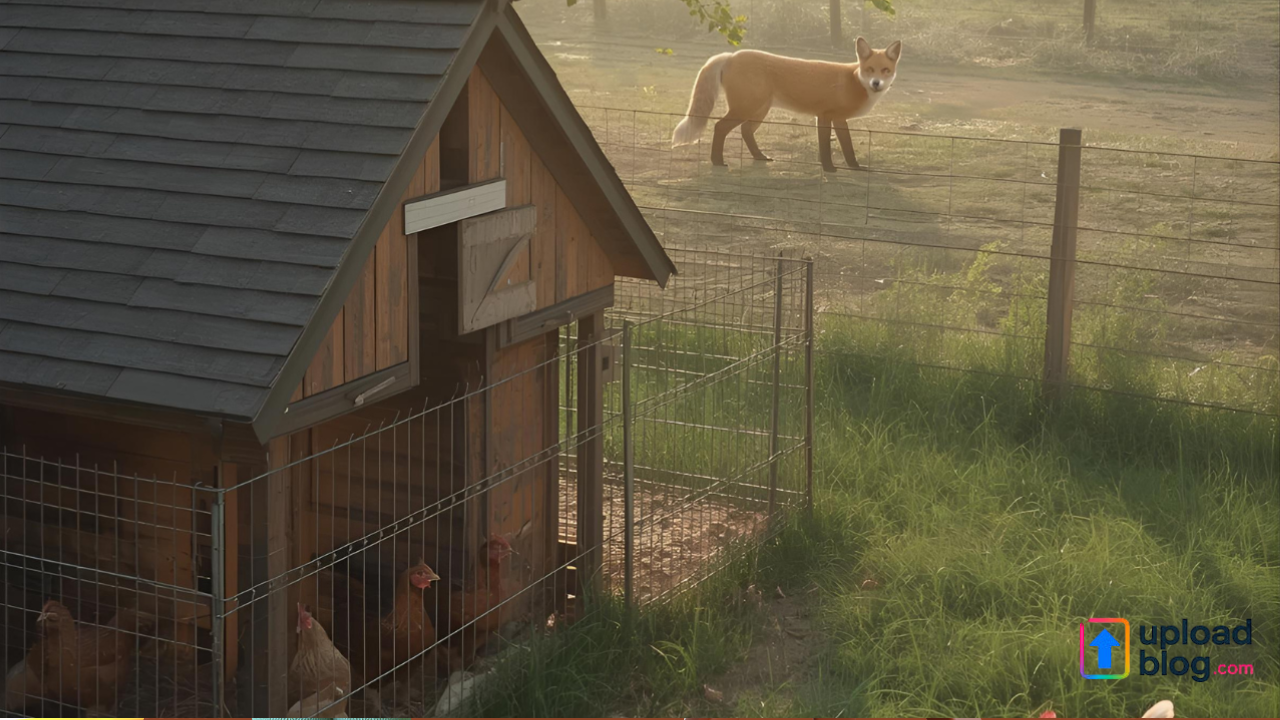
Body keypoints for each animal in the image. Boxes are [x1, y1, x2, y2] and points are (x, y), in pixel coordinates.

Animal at [671, 37, 902, 172]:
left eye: (885, 71)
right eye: (870, 69)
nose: (876, 84)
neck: (854, 80)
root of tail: (732, 55)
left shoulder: (839, 119)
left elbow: (848, 148)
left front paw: (855, 167)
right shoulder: (825, 116)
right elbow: (825, 147)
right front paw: (829, 169)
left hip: (759, 110)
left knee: (746, 131)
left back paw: (759, 157)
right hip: (746, 108)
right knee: (720, 127)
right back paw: (717, 162)